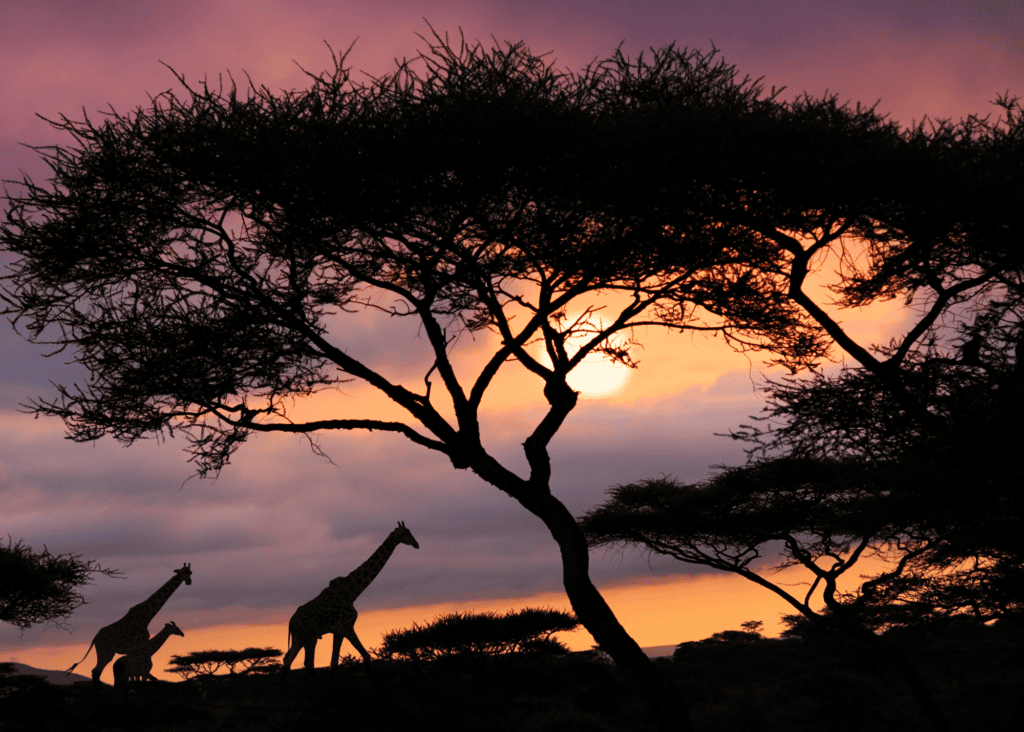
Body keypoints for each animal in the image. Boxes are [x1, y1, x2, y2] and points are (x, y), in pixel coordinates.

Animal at [282, 522, 418, 674]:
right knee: (308, 663)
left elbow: (334, 663)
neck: (353, 592)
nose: (416, 544)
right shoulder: (347, 627)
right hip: (310, 636)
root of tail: (292, 621)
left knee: (288, 660)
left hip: (299, 638)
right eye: (404, 534)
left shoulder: (338, 631)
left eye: (409, 531)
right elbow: (366, 656)